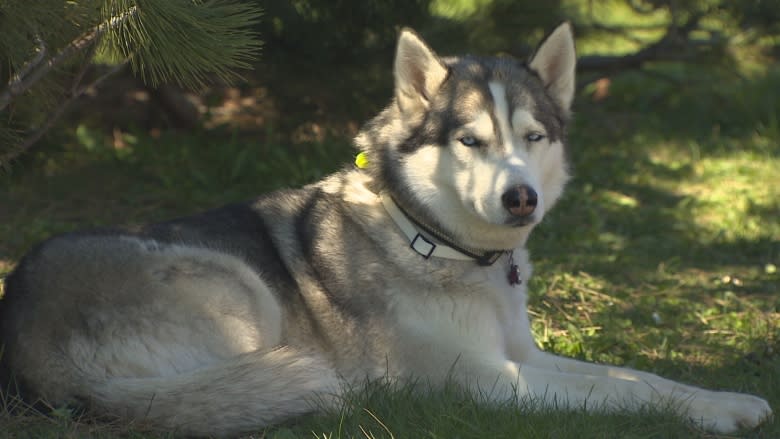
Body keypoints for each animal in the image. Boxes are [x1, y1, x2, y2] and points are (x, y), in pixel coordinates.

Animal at [0, 24, 768, 436]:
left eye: (532, 136)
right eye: (469, 140)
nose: (521, 198)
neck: (433, 240)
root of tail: (26, 342)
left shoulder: (523, 354)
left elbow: (634, 372)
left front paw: (723, 399)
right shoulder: (485, 381)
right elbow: (622, 392)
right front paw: (720, 413)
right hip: (239, 288)